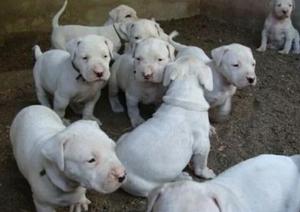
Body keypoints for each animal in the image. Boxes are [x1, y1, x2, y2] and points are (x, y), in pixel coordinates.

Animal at [115, 56, 216, 197]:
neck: (185, 91)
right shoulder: (203, 144)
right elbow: (201, 164)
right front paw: (207, 173)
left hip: (123, 137)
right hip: (144, 186)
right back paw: (181, 177)